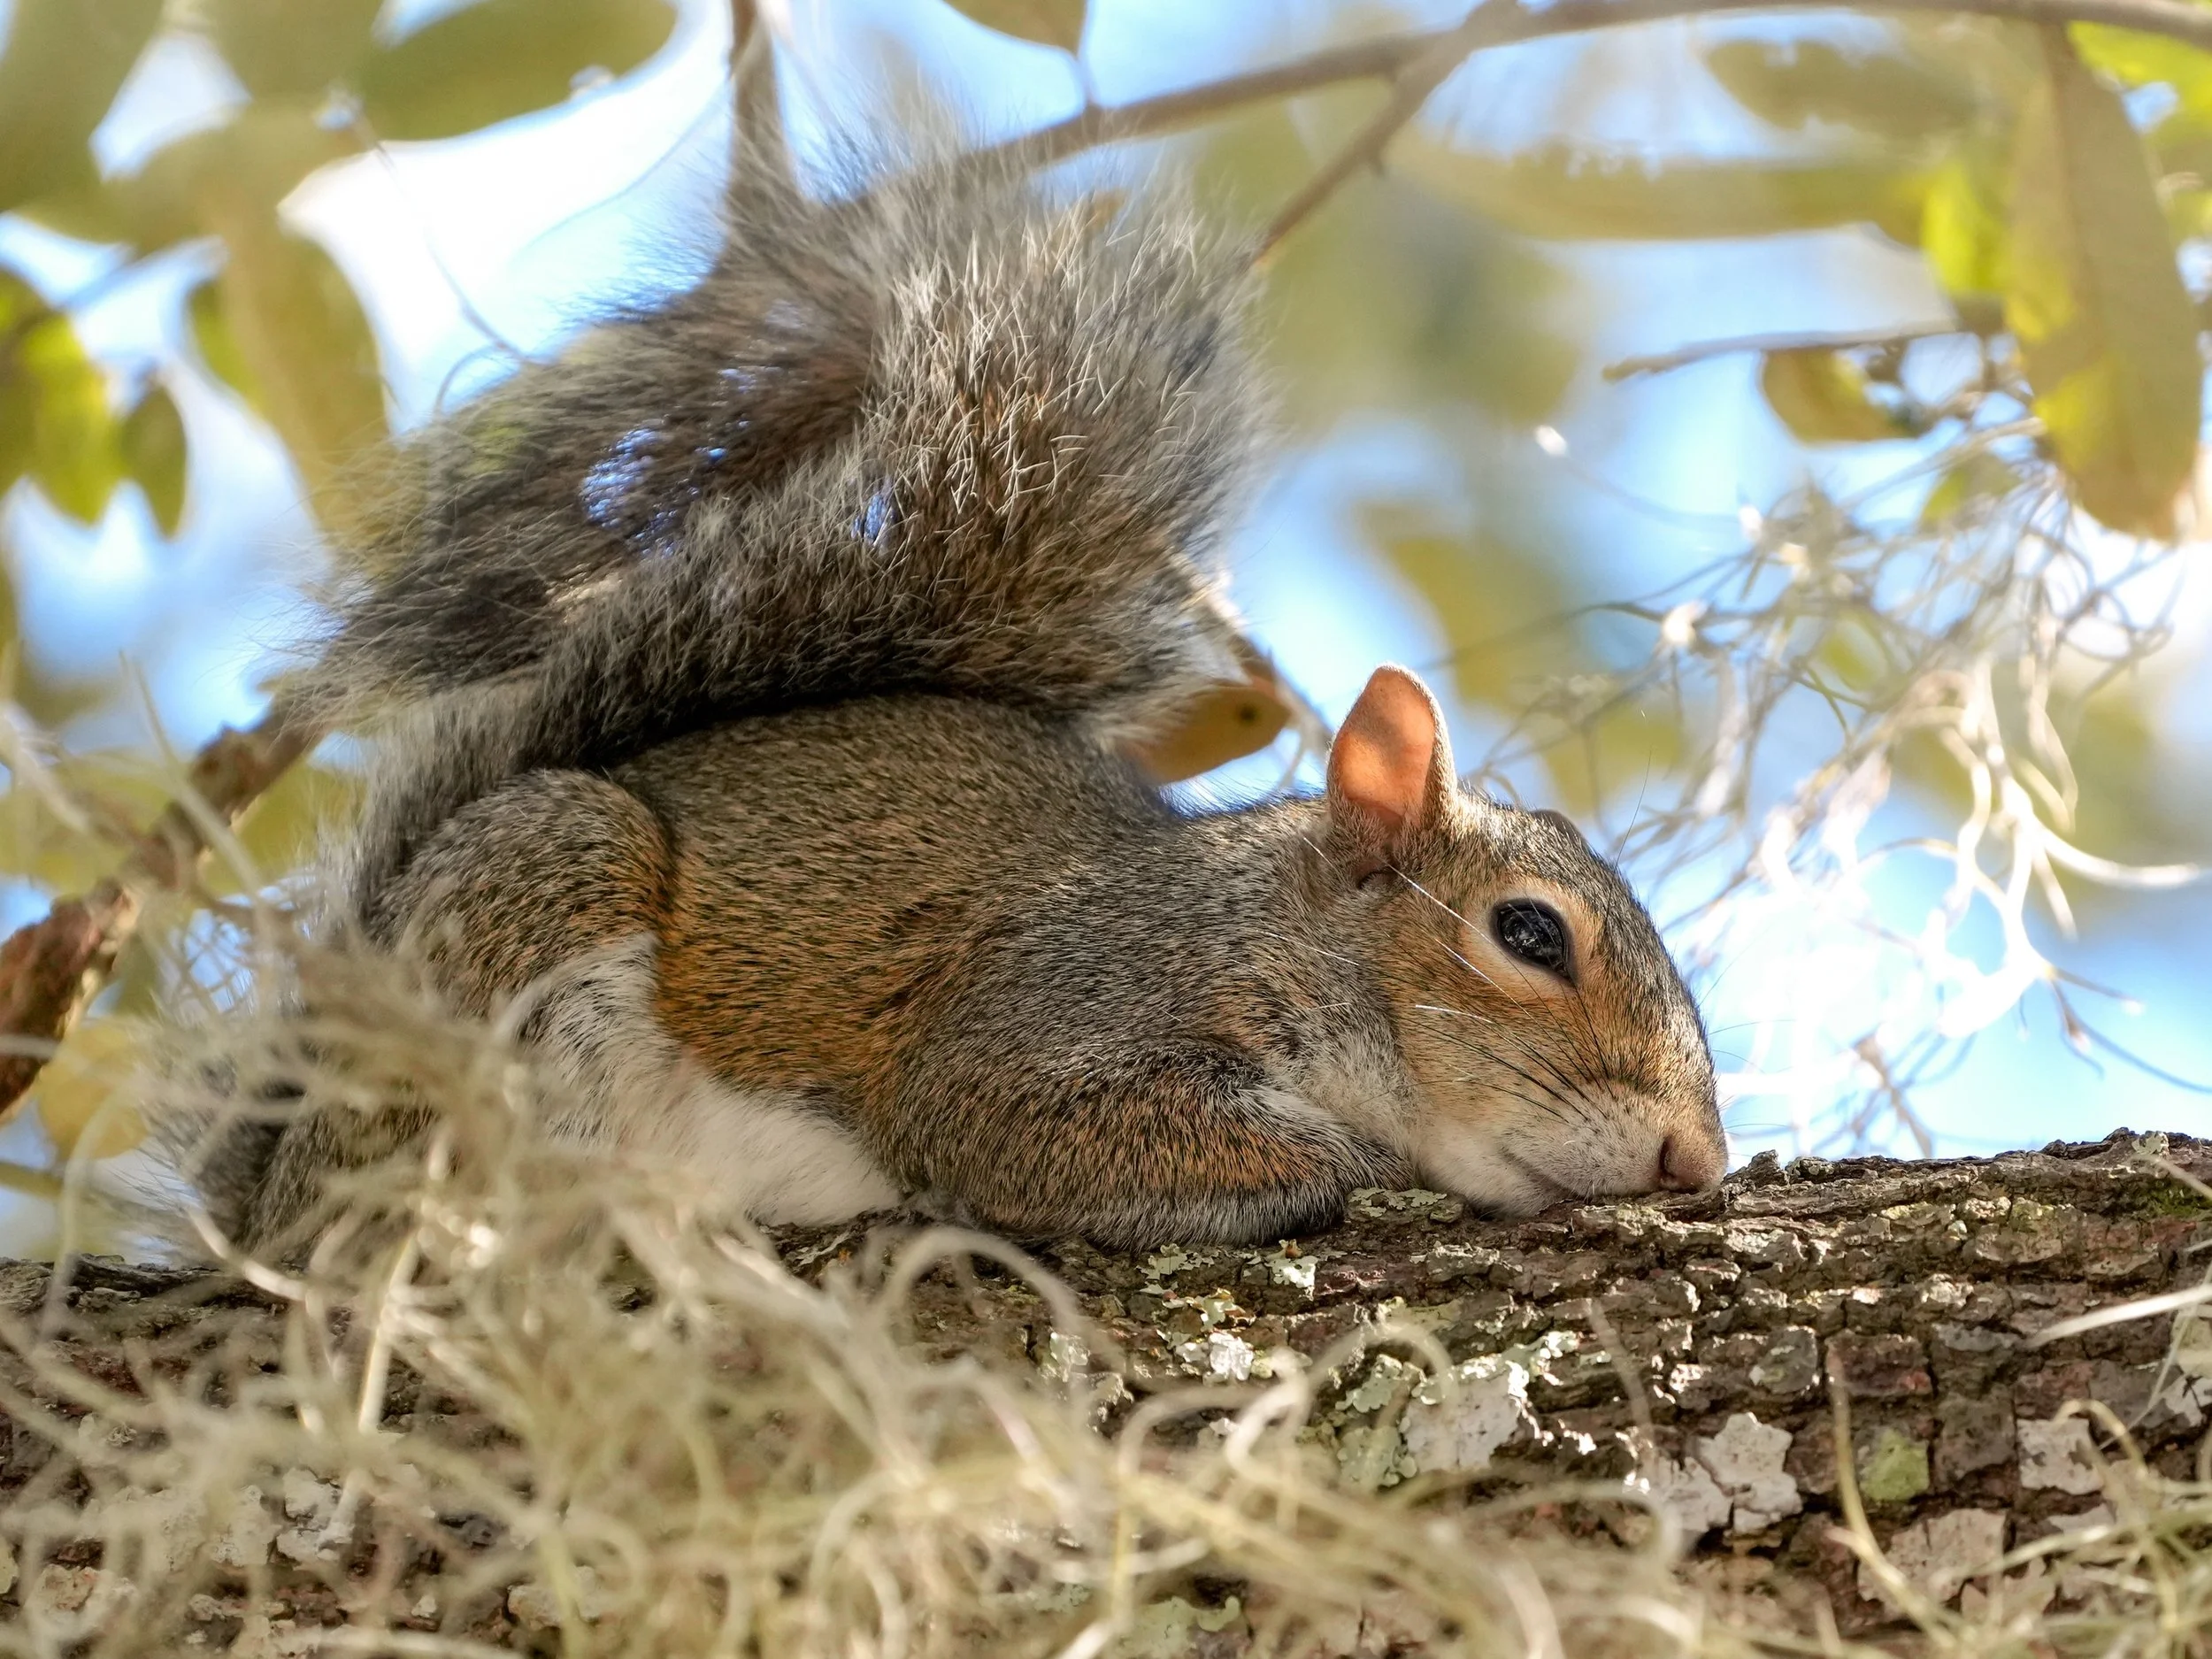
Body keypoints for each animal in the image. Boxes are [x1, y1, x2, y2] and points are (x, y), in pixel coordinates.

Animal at [189, 145, 1727, 1256]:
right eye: (1528, 933)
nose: (1696, 1160)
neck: (1275, 932)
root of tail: (259, 1193)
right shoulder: (1050, 1018)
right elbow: (1008, 1122)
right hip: (541, 881)